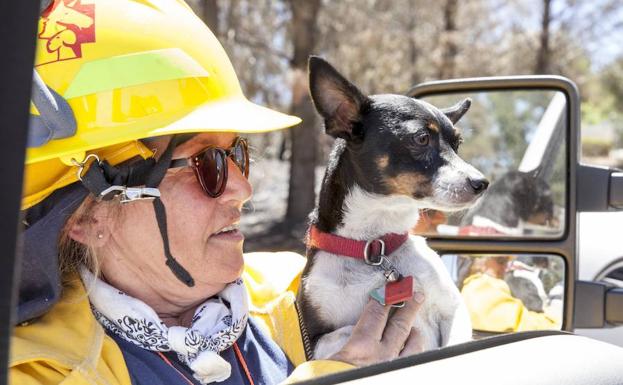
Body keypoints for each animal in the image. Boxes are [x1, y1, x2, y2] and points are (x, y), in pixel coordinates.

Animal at [298, 55, 492, 358]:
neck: (375, 247)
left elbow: (456, 342)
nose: (481, 183)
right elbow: (347, 333)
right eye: (422, 138)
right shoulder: (315, 340)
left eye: (457, 144)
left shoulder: (453, 309)